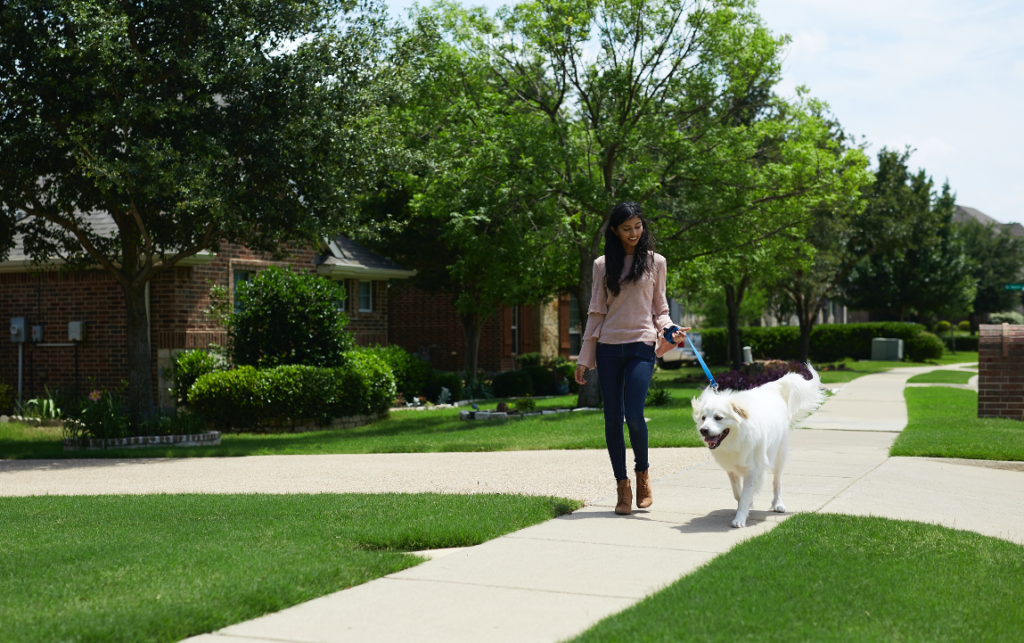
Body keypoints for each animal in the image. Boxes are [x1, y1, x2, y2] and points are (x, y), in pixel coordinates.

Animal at [688, 364, 823, 528]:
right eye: (703, 418)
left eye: (718, 418)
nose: (703, 430)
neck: (737, 437)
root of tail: (772, 388)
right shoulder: (731, 468)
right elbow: (738, 493)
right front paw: (745, 506)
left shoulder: (754, 468)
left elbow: (746, 494)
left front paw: (740, 518)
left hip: (779, 456)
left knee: (777, 482)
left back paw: (778, 504)